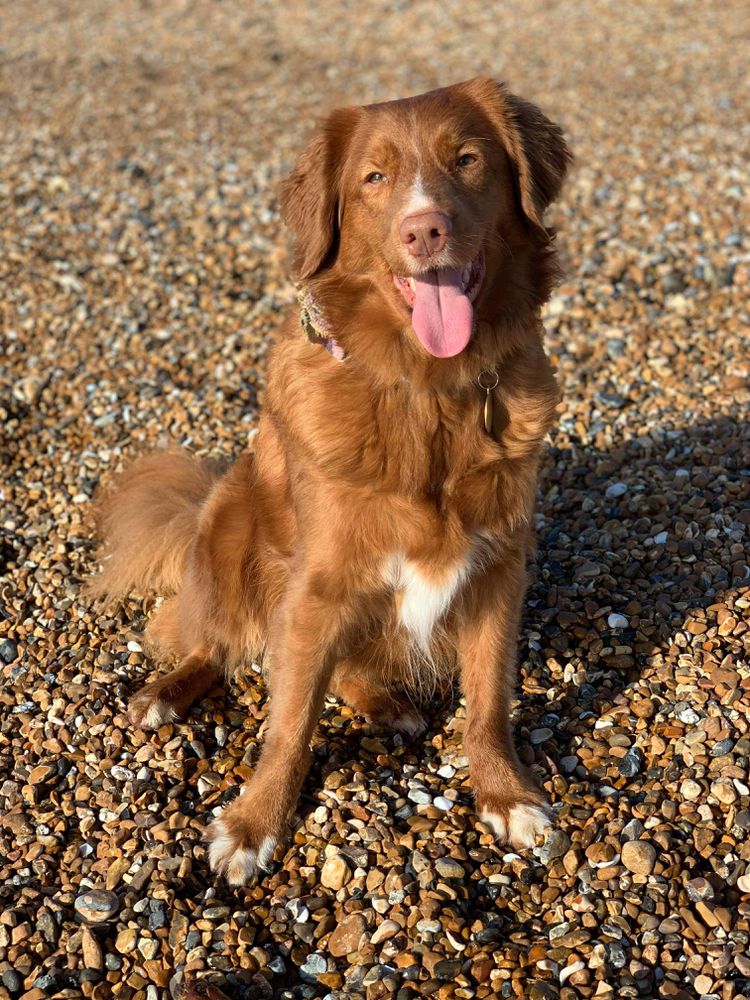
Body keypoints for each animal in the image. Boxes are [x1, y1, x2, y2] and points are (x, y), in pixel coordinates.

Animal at [91, 80, 568, 892]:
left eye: (468, 159)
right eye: (374, 178)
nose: (424, 230)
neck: (427, 390)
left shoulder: (500, 567)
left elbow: (487, 703)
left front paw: (505, 795)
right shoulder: (315, 586)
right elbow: (288, 722)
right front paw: (254, 826)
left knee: (339, 668)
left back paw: (385, 704)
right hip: (227, 523)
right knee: (212, 640)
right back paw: (164, 694)